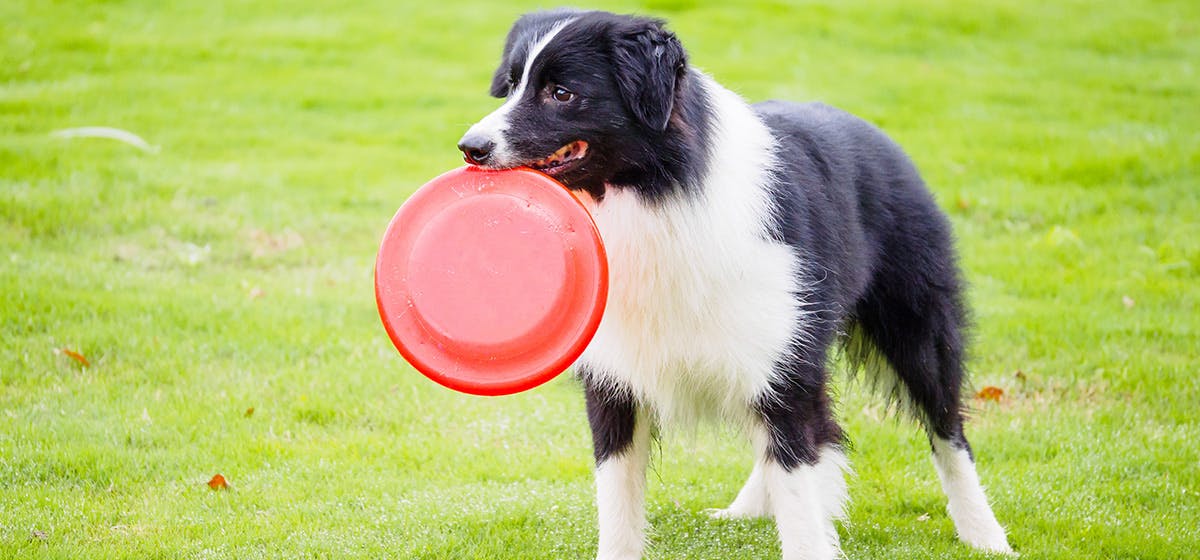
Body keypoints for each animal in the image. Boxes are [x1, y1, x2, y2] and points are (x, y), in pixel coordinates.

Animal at [456, 9, 1012, 560]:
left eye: (562, 93)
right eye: (510, 85)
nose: (470, 148)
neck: (655, 194)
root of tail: (878, 136)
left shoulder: (784, 364)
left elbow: (799, 491)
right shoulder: (616, 374)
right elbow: (617, 499)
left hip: (913, 321)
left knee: (946, 427)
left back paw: (986, 536)